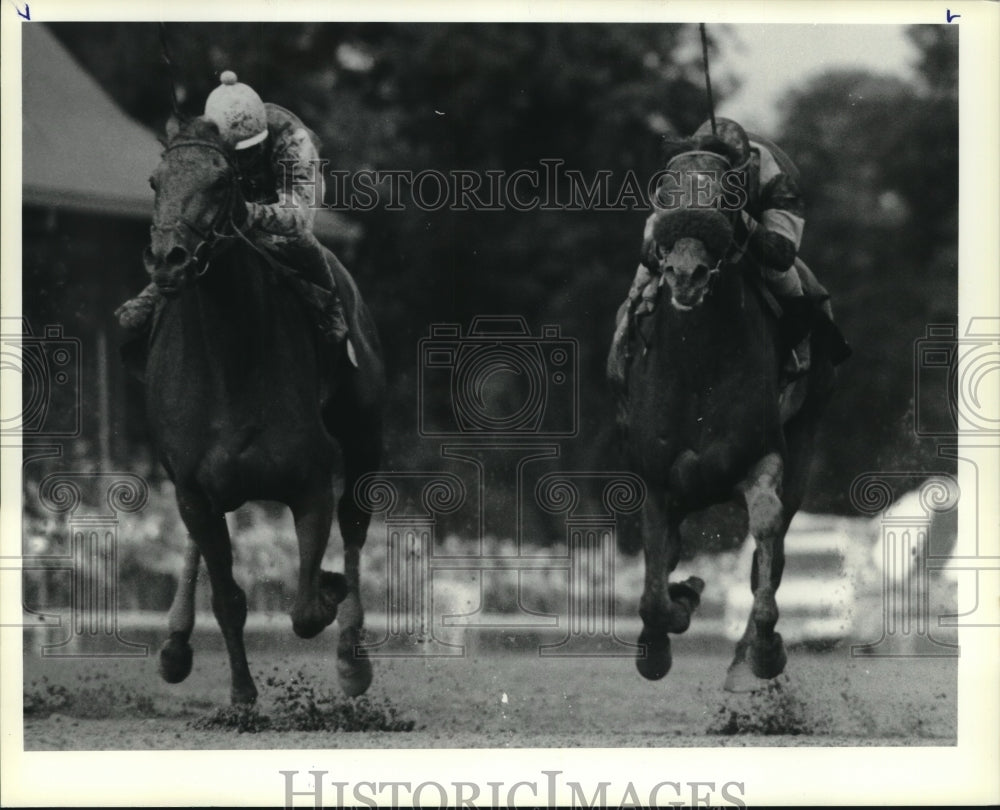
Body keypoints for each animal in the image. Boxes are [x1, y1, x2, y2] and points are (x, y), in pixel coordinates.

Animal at [143, 117, 384, 704]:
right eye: (155, 181)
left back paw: (352, 655)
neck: (230, 362)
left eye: (219, 181)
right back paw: (175, 644)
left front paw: (330, 593)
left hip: (365, 441)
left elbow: (305, 608)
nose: (168, 260)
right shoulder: (193, 490)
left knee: (355, 527)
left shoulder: (311, 482)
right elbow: (228, 598)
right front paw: (241, 695)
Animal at [608, 140, 844, 688]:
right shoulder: (657, 480)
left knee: (773, 550)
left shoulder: (762, 459)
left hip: (806, 434)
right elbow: (653, 589)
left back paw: (746, 657)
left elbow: (766, 533)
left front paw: (764, 648)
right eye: (665, 195)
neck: (698, 364)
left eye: (727, 198)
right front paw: (664, 632)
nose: (685, 274)